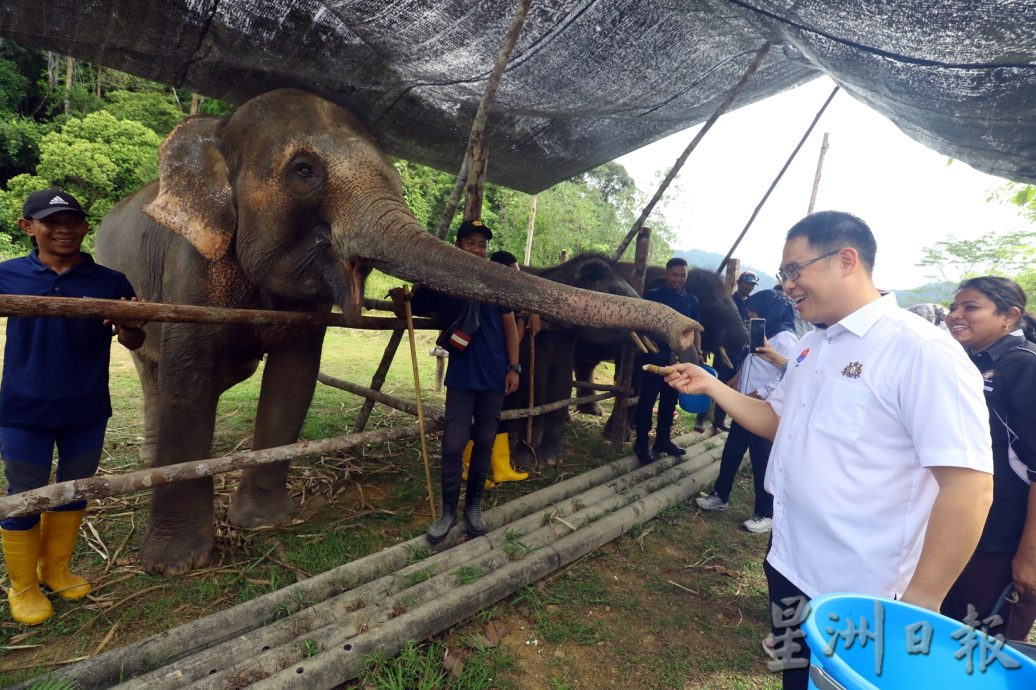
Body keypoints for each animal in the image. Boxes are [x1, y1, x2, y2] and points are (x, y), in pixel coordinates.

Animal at [95, 90, 704, 576]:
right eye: (303, 171)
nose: (690, 334)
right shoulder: (188, 267)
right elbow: (190, 382)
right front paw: (174, 564)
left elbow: (294, 380)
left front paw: (264, 524)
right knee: (152, 370)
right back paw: (149, 460)